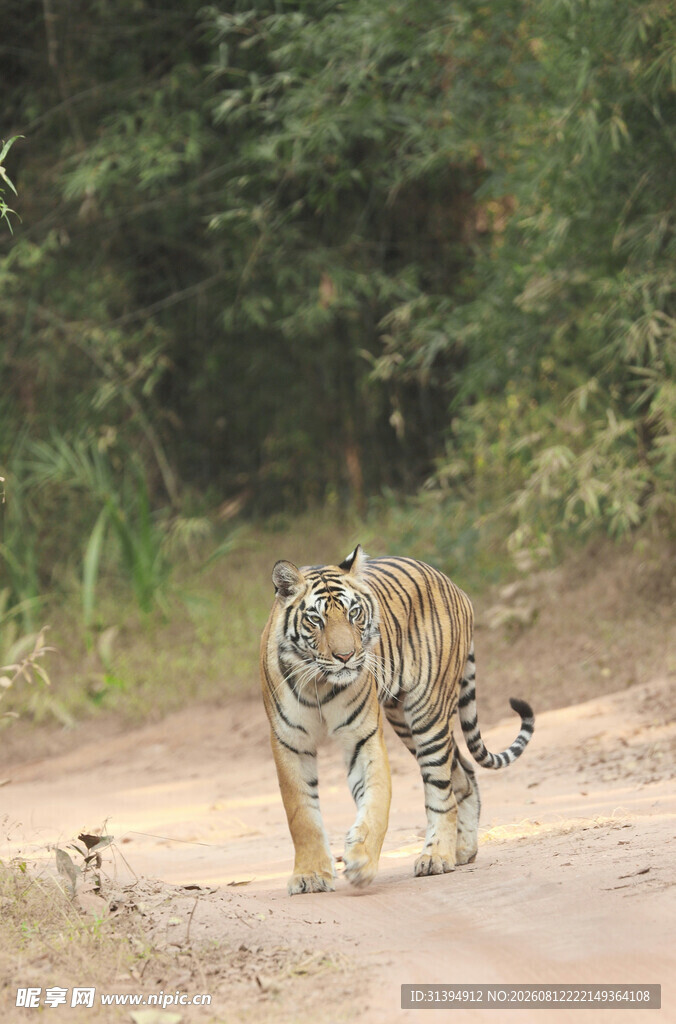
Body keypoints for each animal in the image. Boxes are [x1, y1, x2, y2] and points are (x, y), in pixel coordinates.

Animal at [260, 544, 534, 895]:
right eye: (316, 619)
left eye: (354, 613)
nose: (346, 656)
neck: (320, 683)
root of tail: (454, 585)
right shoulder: (289, 742)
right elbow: (301, 814)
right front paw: (309, 875)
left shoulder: (362, 736)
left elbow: (376, 800)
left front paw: (361, 862)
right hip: (403, 719)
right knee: (463, 773)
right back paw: (462, 850)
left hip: (427, 714)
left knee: (442, 790)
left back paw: (437, 856)